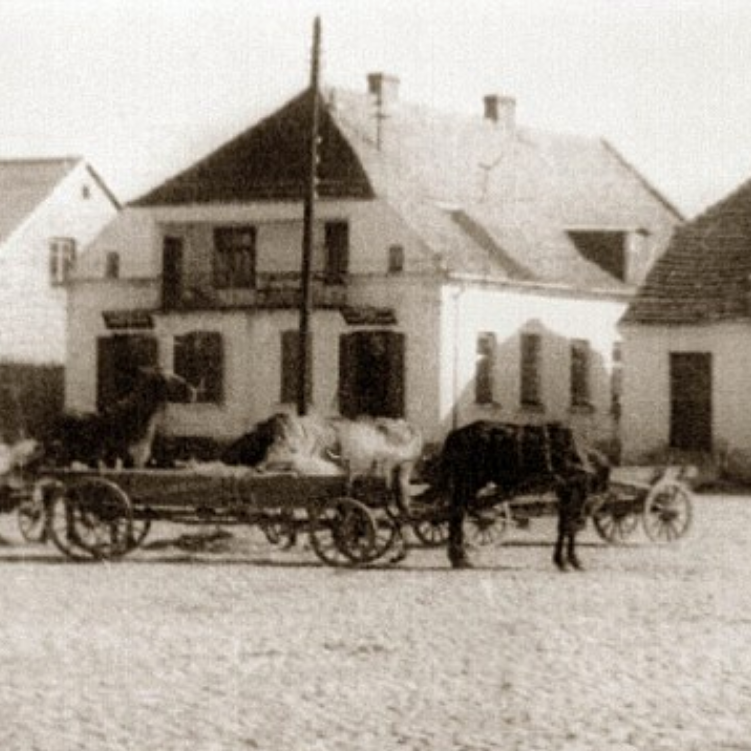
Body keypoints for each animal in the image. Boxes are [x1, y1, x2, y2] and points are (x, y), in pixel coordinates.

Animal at [419, 420, 609, 570]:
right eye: (592, 496)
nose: (586, 518)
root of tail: (455, 434)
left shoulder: (565, 492)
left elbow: (564, 527)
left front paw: (562, 560)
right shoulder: (574, 492)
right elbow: (569, 527)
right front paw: (570, 560)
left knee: (456, 514)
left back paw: (458, 557)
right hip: (467, 483)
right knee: (457, 515)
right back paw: (459, 558)